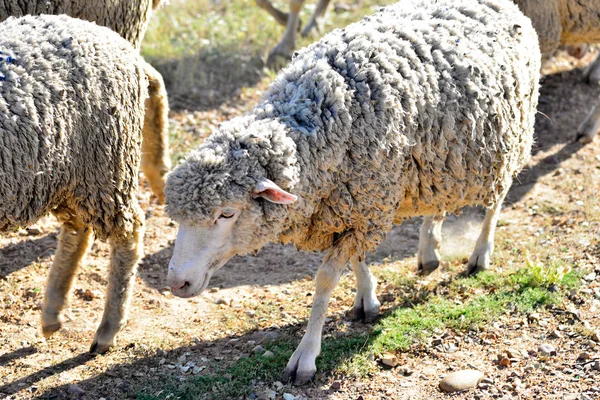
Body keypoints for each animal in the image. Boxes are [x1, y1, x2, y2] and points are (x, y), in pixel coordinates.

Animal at [0, 14, 149, 354]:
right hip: (66, 176)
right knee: (77, 231)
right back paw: (52, 314)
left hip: (106, 164)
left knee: (128, 234)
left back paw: (107, 330)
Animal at [163, 0, 540, 384]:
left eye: (227, 213)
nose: (176, 283)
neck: (317, 121)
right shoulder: (357, 203)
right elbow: (358, 259)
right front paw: (367, 300)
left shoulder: (365, 199)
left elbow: (325, 282)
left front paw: (305, 355)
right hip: (443, 157)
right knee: (439, 200)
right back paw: (429, 249)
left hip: (507, 140)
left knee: (495, 203)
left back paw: (480, 254)